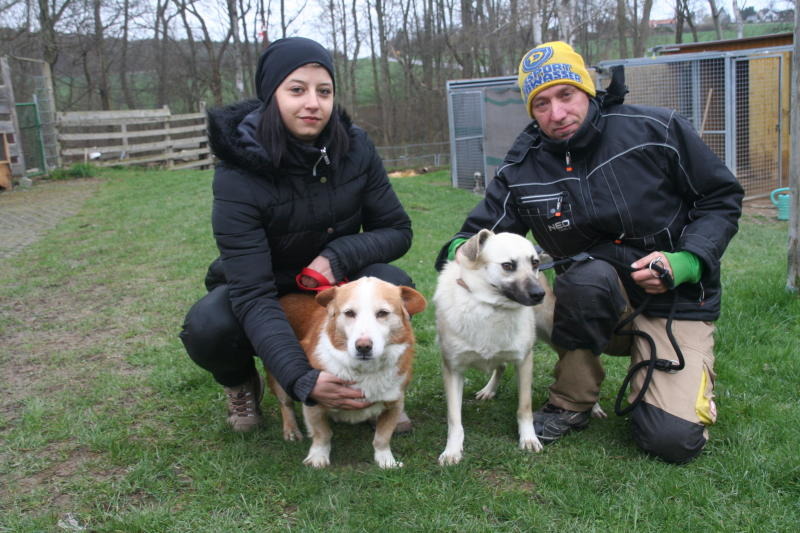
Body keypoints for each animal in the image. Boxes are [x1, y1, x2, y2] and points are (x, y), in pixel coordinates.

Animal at [274, 276, 424, 468]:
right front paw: (318, 458)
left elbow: (382, 438)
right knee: (285, 404)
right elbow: (322, 434)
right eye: (349, 313)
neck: (364, 371)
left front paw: (386, 461)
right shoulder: (313, 399)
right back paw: (291, 430)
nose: (363, 347)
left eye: (382, 313)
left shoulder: (395, 403)